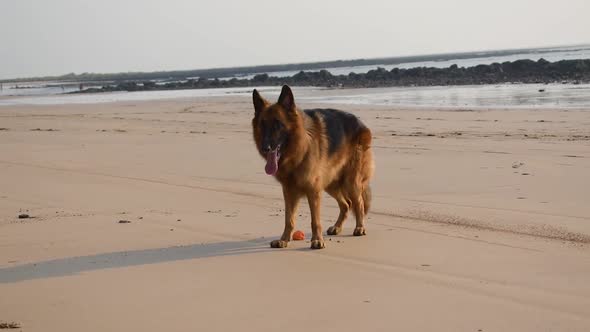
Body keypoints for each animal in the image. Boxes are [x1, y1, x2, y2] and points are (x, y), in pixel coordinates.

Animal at [251, 85, 374, 249]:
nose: (265, 148)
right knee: (346, 204)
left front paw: (317, 240)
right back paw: (337, 227)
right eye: (262, 124)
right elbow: (289, 219)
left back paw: (359, 227)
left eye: (278, 124)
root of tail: (361, 123)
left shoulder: (313, 190)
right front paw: (284, 239)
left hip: (350, 182)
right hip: (330, 183)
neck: (299, 150)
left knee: (358, 203)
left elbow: (315, 221)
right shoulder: (289, 191)